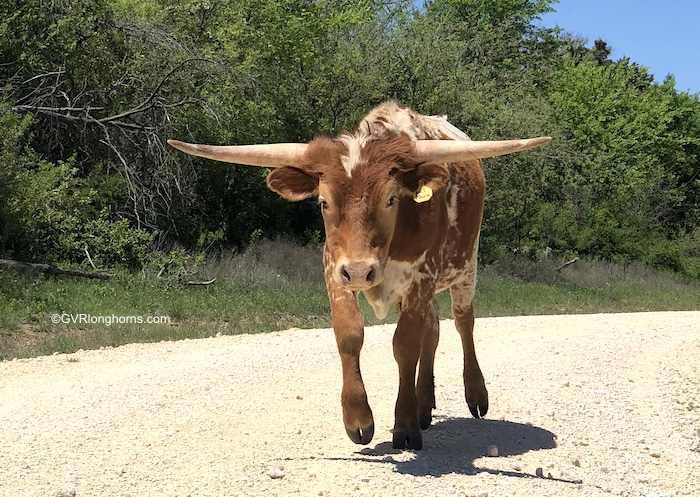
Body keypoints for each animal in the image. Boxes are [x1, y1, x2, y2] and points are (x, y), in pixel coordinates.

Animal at [167, 101, 548, 450]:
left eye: (391, 199)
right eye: (323, 202)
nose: (361, 271)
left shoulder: (421, 275)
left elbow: (405, 345)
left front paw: (405, 425)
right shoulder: (334, 269)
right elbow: (349, 333)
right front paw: (359, 418)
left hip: (466, 266)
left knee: (462, 321)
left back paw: (475, 394)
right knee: (433, 327)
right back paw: (425, 405)